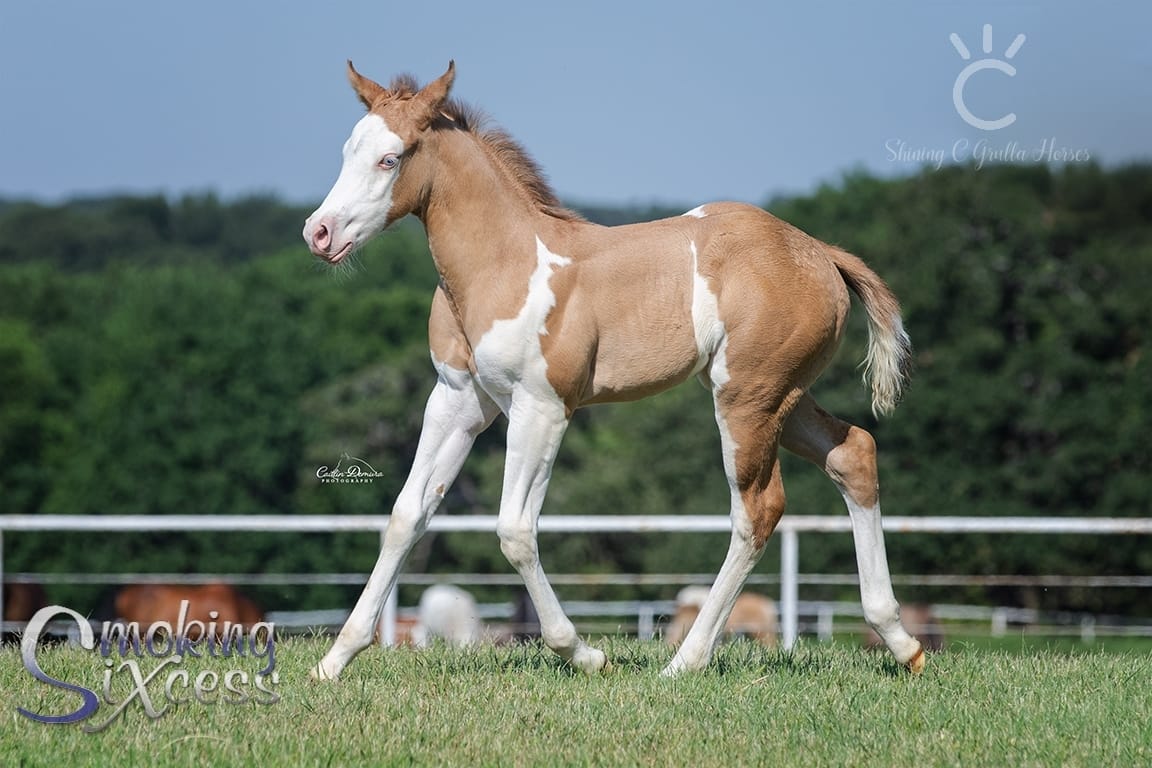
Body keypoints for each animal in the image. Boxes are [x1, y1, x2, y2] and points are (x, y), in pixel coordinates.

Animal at [304, 63, 926, 681]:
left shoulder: (543, 408)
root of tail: (820, 253)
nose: (319, 233)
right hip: (782, 398)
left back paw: (684, 662)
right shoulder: (458, 400)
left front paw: (583, 653)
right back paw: (903, 644)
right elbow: (407, 515)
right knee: (854, 453)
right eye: (348, 150)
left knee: (757, 510)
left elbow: (515, 530)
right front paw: (336, 660)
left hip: (748, 401)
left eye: (391, 158)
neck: (504, 264)